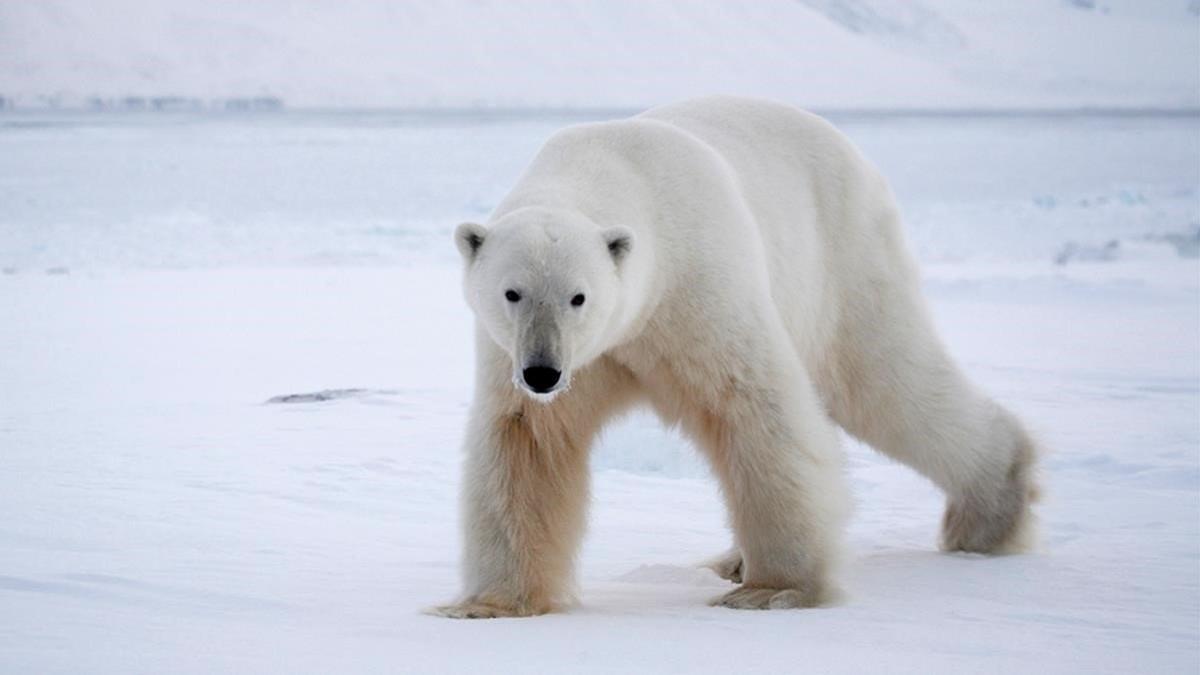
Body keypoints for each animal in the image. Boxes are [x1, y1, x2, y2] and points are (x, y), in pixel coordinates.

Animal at [434, 94, 1041, 614]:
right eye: (512, 293)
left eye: (579, 296)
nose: (543, 371)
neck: (611, 167)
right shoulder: (536, 356)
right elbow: (527, 444)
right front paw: (490, 604)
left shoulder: (695, 287)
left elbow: (753, 407)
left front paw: (775, 590)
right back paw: (731, 559)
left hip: (843, 256)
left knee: (885, 382)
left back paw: (990, 514)